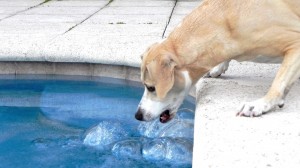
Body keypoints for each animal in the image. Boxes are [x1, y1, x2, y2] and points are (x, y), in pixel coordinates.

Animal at [135, 0, 300, 122]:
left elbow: (278, 83)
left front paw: (261, 104)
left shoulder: (296, 44)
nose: (137, 115)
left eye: (151, 88)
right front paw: (218, 68)